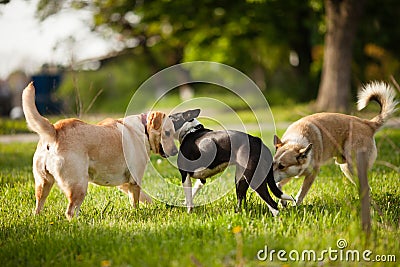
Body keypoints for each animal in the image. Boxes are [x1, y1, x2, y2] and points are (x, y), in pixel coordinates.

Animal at [22, 82, 178, 221]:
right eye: (168, 133)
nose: (176, 151)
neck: (143, 129)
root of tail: (55, 131)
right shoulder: (135, 180)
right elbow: (135, 202)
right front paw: (138, 213)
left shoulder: (124, 183)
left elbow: (145, 198)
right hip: (79, 185)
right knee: (70, 211)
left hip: (43, 183)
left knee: (38, 206)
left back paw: (37, 218)